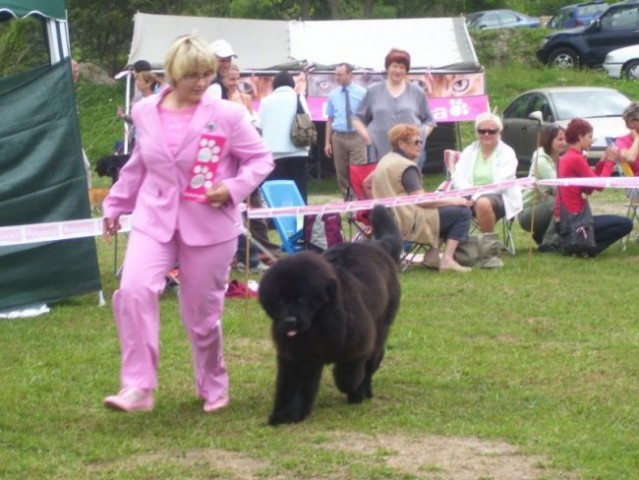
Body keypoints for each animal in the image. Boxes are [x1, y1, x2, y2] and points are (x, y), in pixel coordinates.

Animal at [258, 204, 402, 426]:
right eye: (280, 301)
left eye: (302, 299)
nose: (290, 321)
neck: (318, 327)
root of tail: (377, 245)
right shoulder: (298, 358)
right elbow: (292, 388)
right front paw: (286, 415)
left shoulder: (358, 347)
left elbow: (348, 374)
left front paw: (351, 389)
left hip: (382, 326)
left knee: (371, 363)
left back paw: (363, 393)